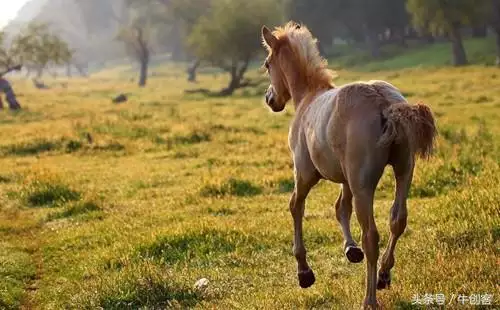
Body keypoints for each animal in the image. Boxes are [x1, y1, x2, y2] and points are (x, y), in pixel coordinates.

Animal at [260, 21, 436, 308]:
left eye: (267, 64)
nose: (270, 98)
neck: (308, 97)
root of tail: (385, 103)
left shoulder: (305, 173)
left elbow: (296, 206)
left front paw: (304, 273)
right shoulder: (346, 178)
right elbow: (341, 207)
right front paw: (351, 250)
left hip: (364, 185)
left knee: (371, 235)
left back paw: (370, 299)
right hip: (403, 171)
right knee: (397, 220)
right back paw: (383, 276)